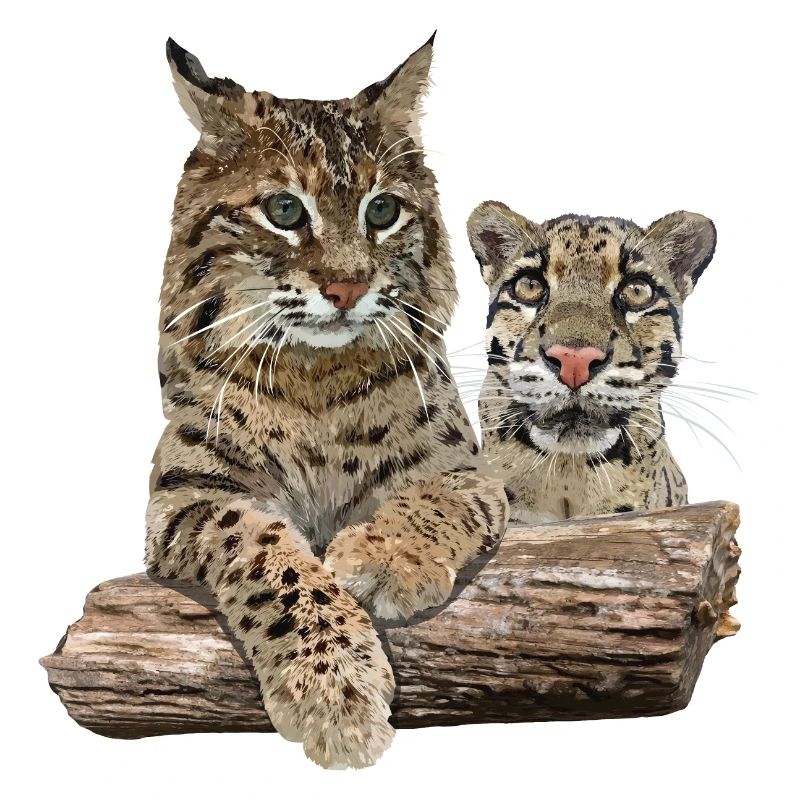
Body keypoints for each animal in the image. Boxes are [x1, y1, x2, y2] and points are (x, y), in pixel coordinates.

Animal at [145, 38, 509, 769]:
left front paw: (388, 557)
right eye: (285, 212)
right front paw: (335, 691)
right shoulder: (185, 495)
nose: (346, 288)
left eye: (382, 212)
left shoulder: (466, 470)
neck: (316, 372)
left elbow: (434, 499)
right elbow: (266, 552)